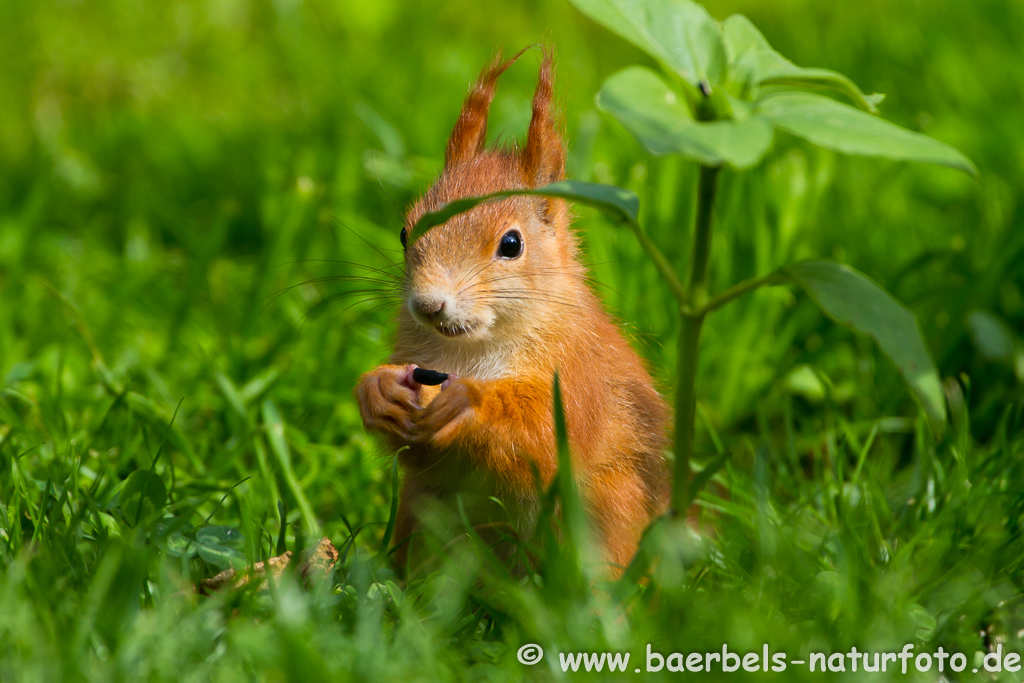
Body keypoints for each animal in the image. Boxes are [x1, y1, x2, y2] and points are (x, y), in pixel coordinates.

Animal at [356, 48, 667, 573]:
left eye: (511, 244)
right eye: (404, 231)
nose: (428, 304)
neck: (469, 349)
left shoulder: (579, 373)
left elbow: (546, 434)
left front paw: (470, 404)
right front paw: (377, 390)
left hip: (610, 514)